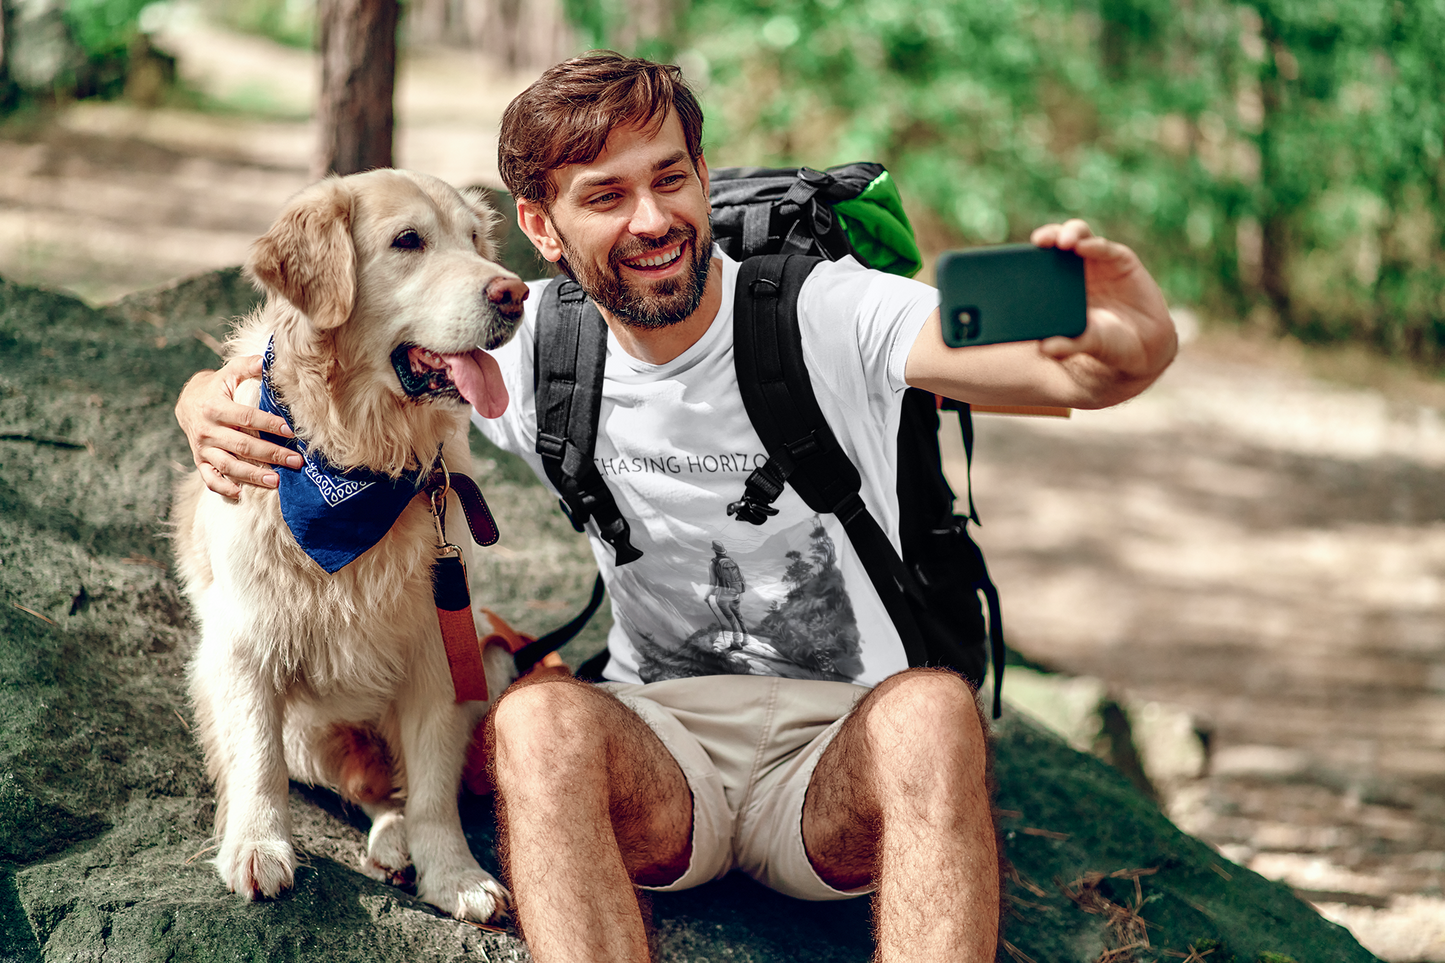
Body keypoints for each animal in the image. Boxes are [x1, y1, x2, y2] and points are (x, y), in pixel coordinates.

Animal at [171, 168, 528, 919]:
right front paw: (256, 845)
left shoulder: (439, 650)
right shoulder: (243, 643)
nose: (514, 292)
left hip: (490, 652)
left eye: (474, 239)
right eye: (408, 241)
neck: (361, 461)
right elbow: (256, 760)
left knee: (396, 788)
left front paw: (453, 874)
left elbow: (432, 789)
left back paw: (398, 844)